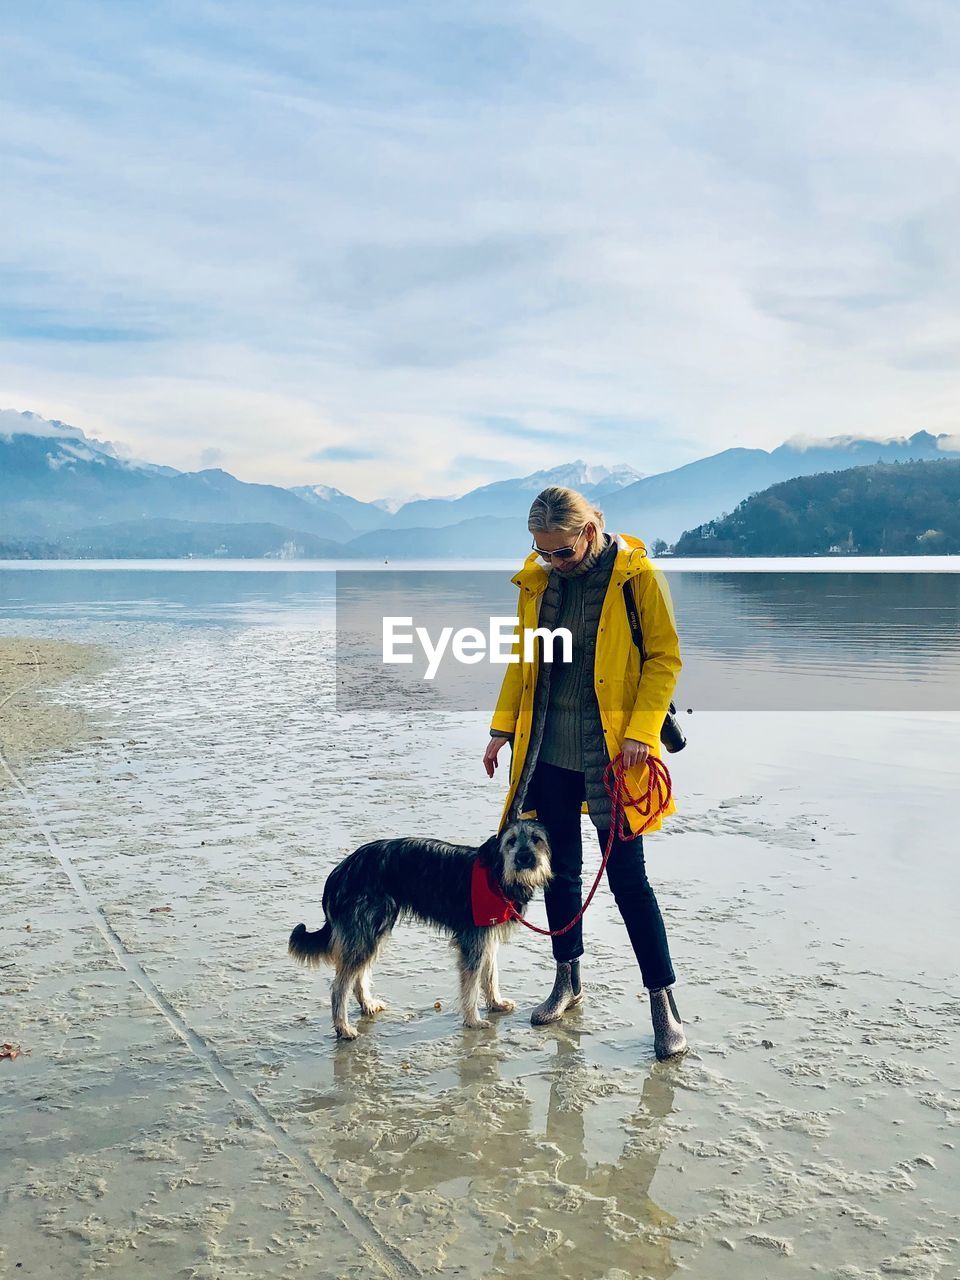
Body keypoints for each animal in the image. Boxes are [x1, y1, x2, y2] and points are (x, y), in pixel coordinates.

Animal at [289, 819, 552, 1039]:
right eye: (511, 841)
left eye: (536, 838)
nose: (525, 859)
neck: (496, 874)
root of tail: (340, 872)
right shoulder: (473, 939)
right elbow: (470, 984)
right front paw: (473, 1020)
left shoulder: (486, 935)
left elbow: (489, 975)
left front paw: (496, 1003)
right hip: (366, 928)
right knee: (339, 986)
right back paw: (343, 1028)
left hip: (372, 930)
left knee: (357, 974)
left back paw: (367, 1004)